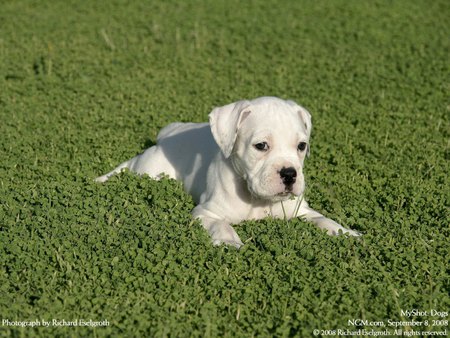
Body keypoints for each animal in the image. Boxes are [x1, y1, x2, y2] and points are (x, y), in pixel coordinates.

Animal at [96, 96, 360, 247]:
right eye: (261, 146)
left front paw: (346, 232)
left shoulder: (300, 211)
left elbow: (322, 219)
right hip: (148, 169)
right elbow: (220, 224)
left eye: (302, 146)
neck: (255, 199)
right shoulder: (205, 213)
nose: (289, 174)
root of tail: (168, 134)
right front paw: (228, 241)